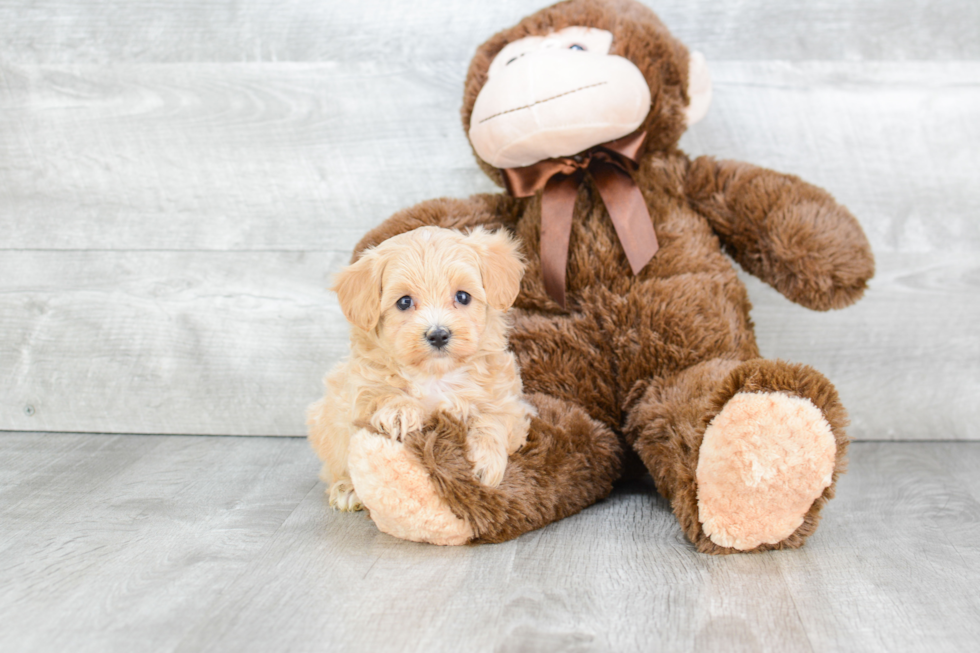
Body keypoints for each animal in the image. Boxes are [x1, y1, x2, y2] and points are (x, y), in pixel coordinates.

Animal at [308, 227, 532, 512]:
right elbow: (379, 392)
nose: (438, 335)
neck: (435, 375)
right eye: (404, 302)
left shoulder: (508, 401)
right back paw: (347, 488)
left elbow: (493, 419)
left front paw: (486, 460)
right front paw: (399, 411)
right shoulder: (358, 389)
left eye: (463, 296)